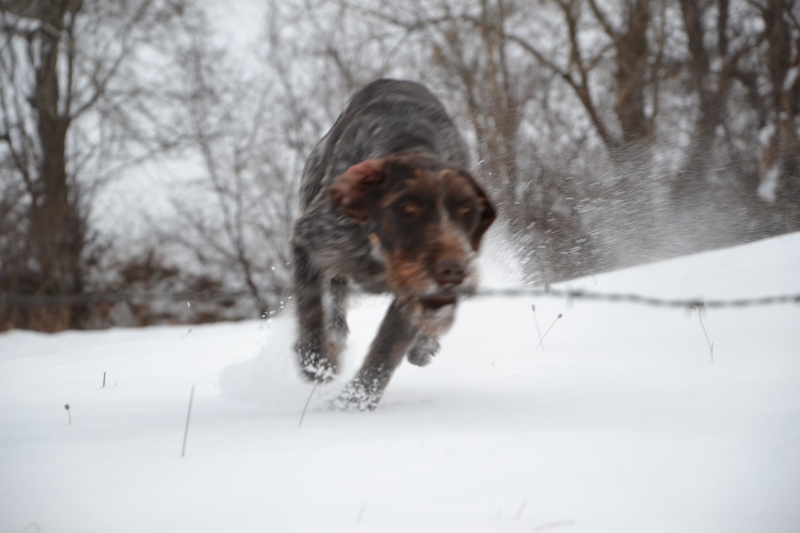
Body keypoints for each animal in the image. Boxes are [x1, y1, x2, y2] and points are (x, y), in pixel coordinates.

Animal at [290, 78, 496, 408]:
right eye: (410, 208)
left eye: (467, 211)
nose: (453, 269)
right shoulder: (310, 239)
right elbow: (310, 310)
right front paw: (316, 364)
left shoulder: (415, 295)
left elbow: (385, 354)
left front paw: (355, 403)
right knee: (336, 300)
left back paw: (424, 345)